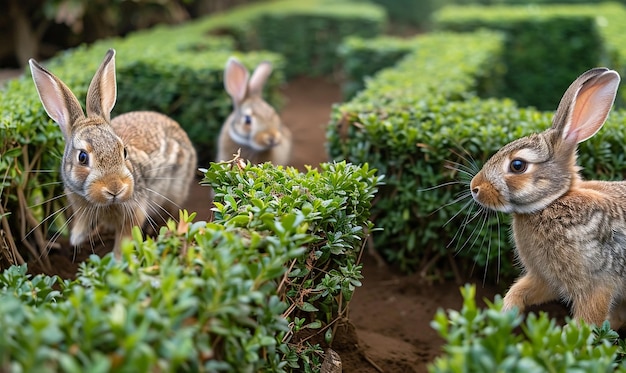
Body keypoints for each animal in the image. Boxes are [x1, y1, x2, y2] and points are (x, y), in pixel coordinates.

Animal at [28, 48, 195, 258]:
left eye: (124, 151)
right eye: (82, 157)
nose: (115, 188)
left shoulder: (134, 209)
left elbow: (125, 237)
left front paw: (118, 259)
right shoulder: (78, 204)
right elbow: (83, 222)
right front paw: (77, 238)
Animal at [468, 66, 624, 326]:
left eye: (518, 165)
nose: (475, 188)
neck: (553, 201)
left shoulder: (596, 286)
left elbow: (586, 323)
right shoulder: (545, 278)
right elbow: (521, 290)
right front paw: (505, 316)